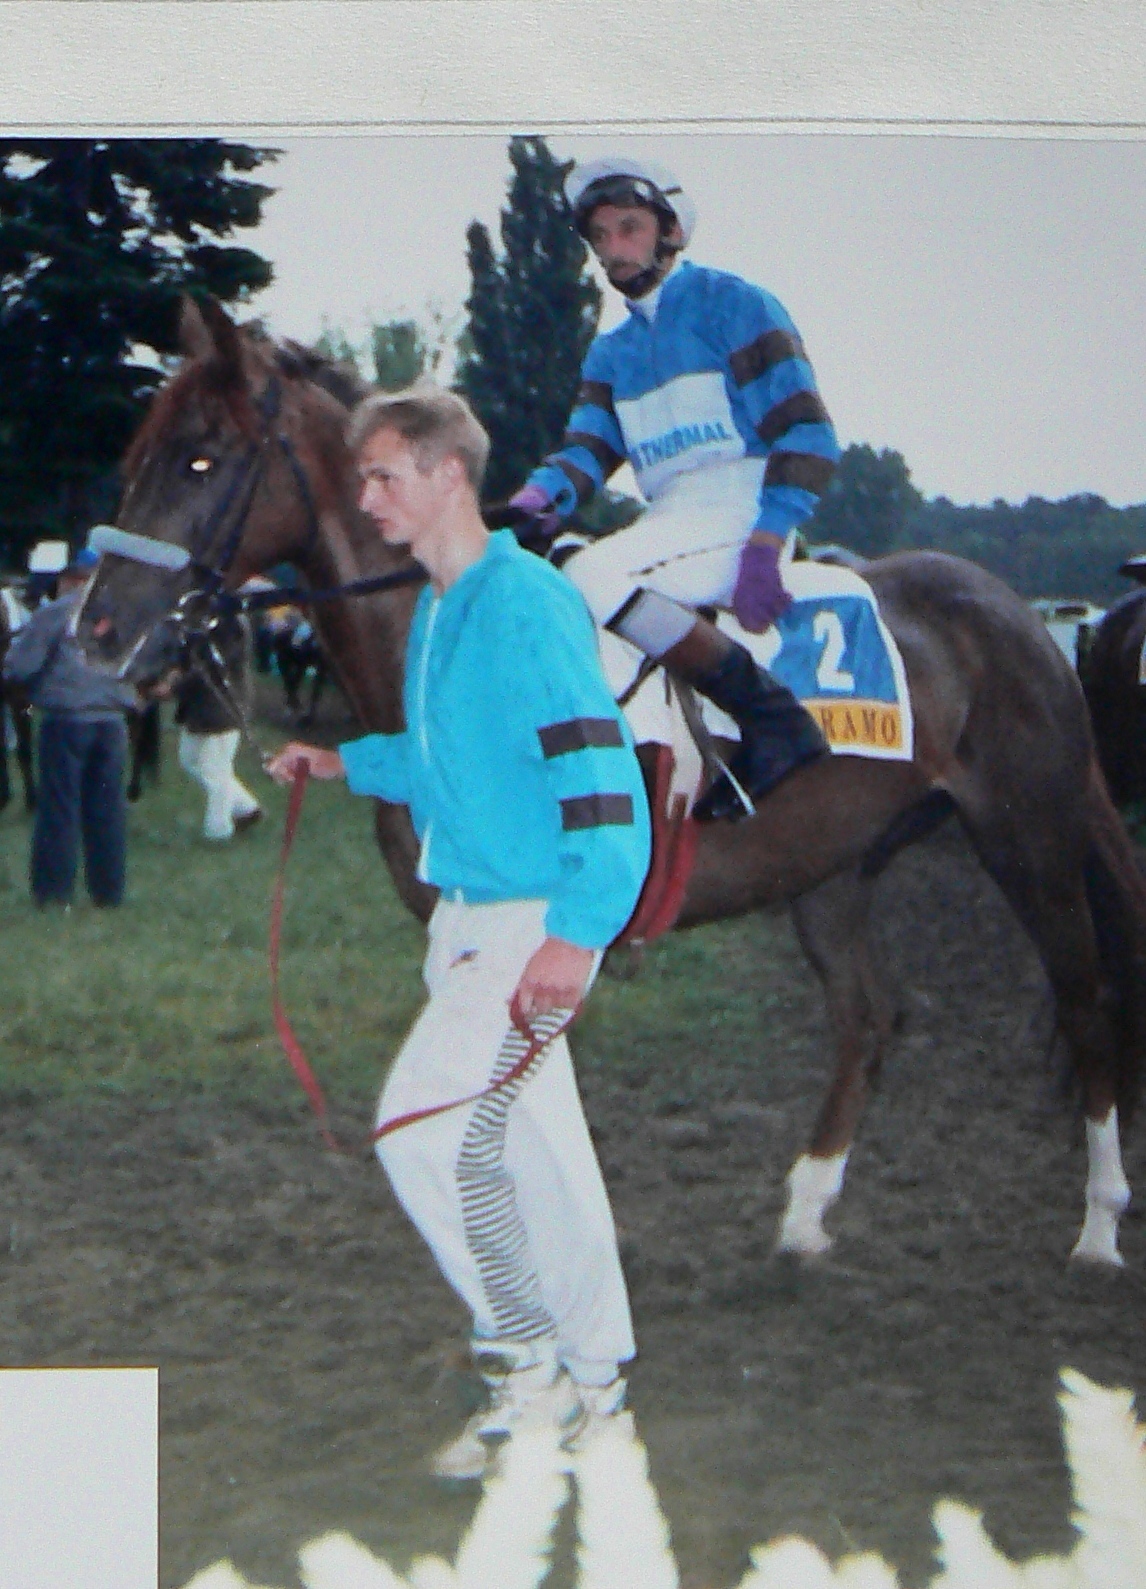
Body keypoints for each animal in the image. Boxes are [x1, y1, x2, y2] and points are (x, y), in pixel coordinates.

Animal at [75, 295, 1144, 1264]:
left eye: (201, 457)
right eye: (136, 458)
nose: (98, 629)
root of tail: (1017, 612)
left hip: (1030, 838)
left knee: (1088, 998)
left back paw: (1098, 1224)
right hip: (830, 870)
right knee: (870, 1017)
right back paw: (804, 1216)